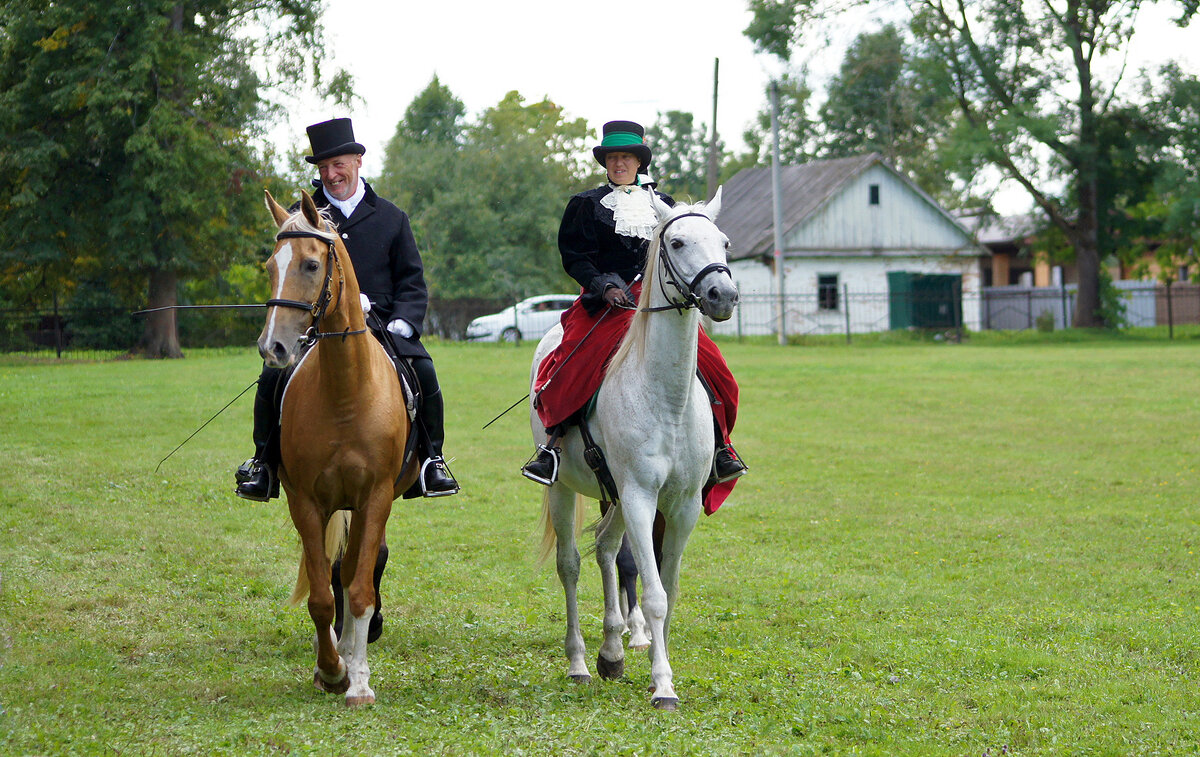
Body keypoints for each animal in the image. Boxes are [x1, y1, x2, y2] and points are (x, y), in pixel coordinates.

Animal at [258, 188, 417, 705]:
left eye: (311, 265)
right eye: (269, 267)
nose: (273, 348)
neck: (346, 392)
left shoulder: (376, 498)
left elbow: (360, 587)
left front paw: (359, 679)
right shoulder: (306, 501)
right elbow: (322, 595)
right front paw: (330, 670)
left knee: (358, 569)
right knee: (333, 573)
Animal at [530, 187, 734, 710]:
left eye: (724, 242)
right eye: (677, 242)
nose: (722, 295)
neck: (663, 396)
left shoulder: (681, 505)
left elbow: (668, 587)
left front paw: (646, 663)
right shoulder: (641, 497)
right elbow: (656, 593)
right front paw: (663, 686)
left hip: (617, 496)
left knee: (605, 548)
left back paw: (611, 651)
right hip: (565, 489)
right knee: (570, 565)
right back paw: (580, 662)